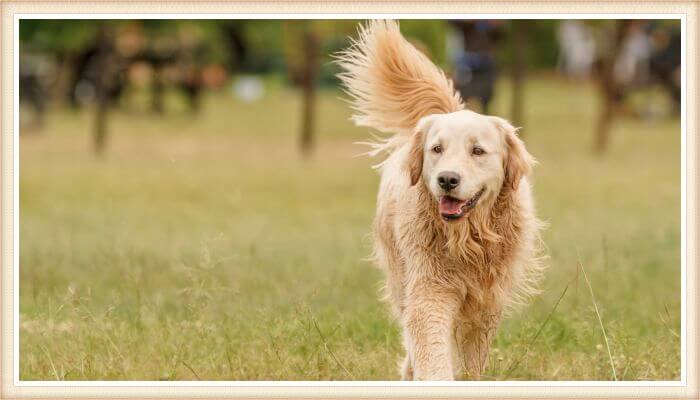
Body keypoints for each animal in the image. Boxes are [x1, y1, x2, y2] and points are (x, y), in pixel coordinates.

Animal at [336, 19, 544, 382]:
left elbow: (471, 360)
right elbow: (430, 347)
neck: (467, 238)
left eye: (477, 151)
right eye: (437, 149)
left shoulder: (486, 301)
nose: (447, 179)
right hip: (399, 274)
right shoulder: (430, 289)